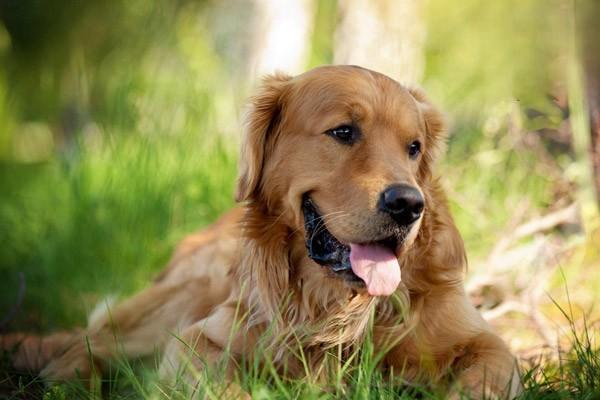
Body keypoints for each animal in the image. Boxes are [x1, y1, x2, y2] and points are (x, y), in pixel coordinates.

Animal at [2, 65, 520, 396]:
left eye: (414, 148)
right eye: (344, 132)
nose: (409, 204)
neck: (337, 307)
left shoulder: (488, 344)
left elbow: (482, 377)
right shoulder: (197, 340)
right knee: (88, 347)